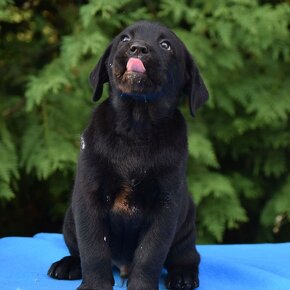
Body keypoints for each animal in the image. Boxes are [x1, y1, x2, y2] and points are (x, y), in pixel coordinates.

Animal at [47, 21, 208, 290]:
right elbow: (94, 249)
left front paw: (141, 285)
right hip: (70, 219)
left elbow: (149, 254)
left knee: (187, 257)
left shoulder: (165, 206)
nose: (138, 48)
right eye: (124, 39)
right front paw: (95, 285)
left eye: (166, 45)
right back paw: (68, 264)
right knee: (79, 251)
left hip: (185, 229)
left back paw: (183, 276)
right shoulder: (89, 197)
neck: (136, 126)